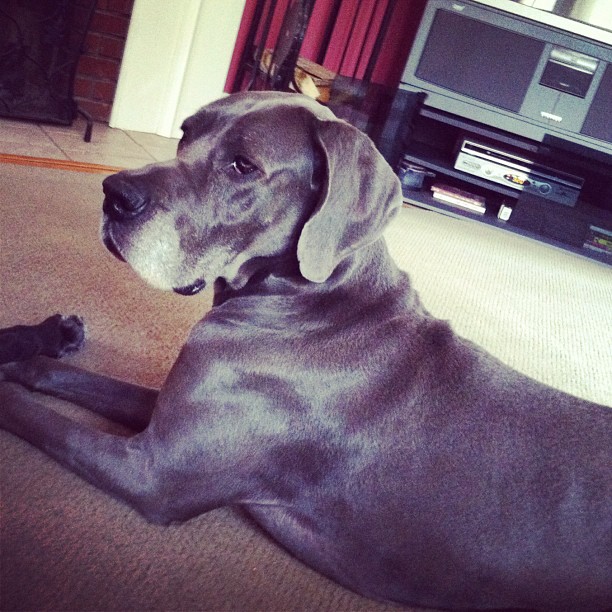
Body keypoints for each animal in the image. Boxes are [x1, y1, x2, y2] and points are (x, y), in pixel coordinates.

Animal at [0, 91, 610, 611]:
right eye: (186, 132)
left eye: (242, 166)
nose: (112, 195)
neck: (310, 300)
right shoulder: (174, 416)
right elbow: (76, 381)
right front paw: (33, 352)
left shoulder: (152, 472)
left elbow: (44, 422)